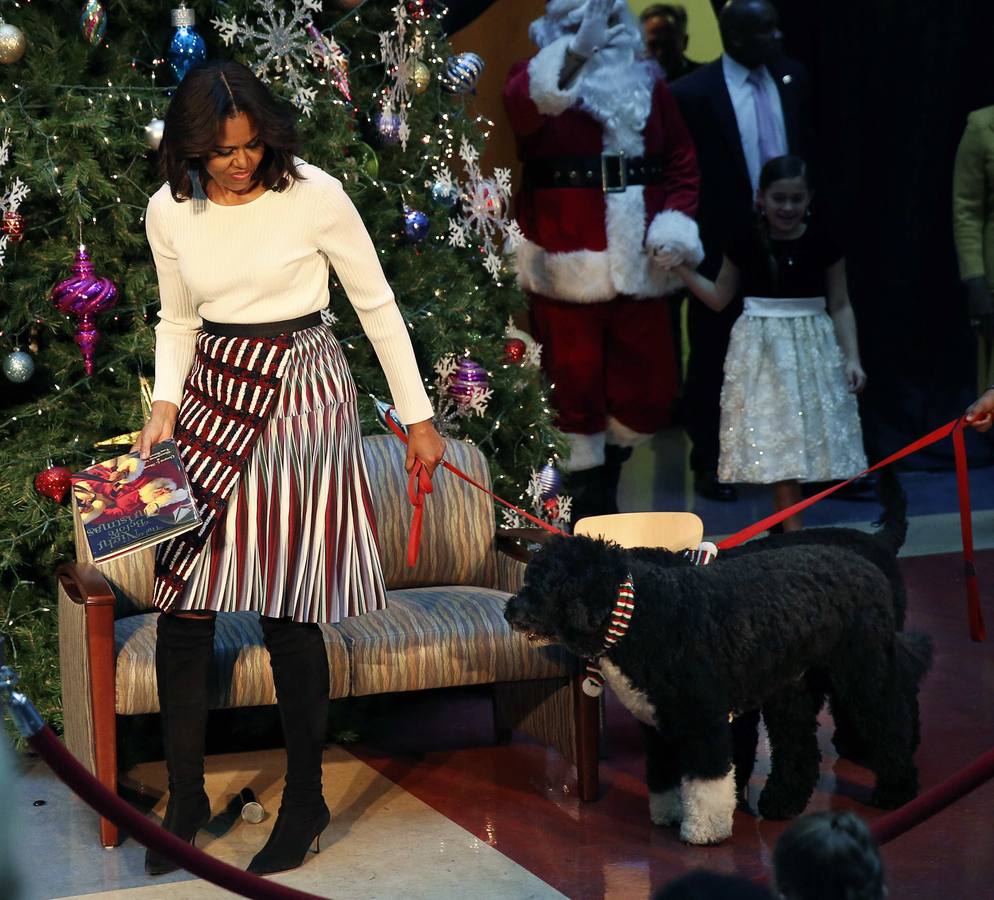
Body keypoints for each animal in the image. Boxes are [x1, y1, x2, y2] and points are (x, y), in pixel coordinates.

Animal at [504, 536, 928, 844]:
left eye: (542, 585)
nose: (510, 610)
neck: (642, 614)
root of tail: (868, 562)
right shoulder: (659, 726)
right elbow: (664, 775)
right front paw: (669, 814)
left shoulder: (702, 720)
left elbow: (707, 781)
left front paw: (704, 830)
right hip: (790, 689)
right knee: (799, 750)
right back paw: (782, 802)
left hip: (862, 672)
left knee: (890, 720)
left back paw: (897, 789)